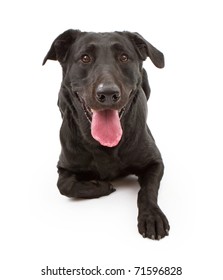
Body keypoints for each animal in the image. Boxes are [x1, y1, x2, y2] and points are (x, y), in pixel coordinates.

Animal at [43, 29, 169, 241]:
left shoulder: (155, 162)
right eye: (85, 58)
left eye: (124, 57)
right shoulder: (64, 166)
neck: (105, 145)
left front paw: (152, 215)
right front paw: (101, 186)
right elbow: (65, 186)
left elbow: (148, 190)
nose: (108, 93)